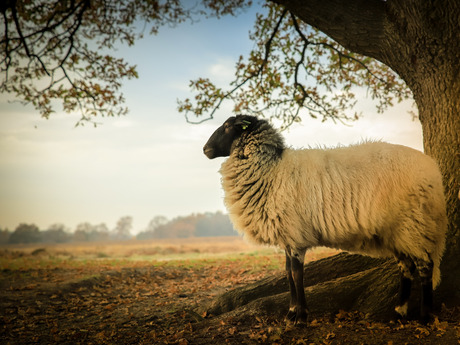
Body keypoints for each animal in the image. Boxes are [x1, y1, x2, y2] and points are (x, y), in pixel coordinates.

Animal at [202, 114, 446, 324]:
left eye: (227, 126)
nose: (205, 149)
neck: (271, 168)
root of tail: (433, 169)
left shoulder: (296, 235)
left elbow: (296, 274)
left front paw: (301, 317)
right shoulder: (289, 235)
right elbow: (287, 273)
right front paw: (291, 313)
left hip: (414, 224)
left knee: (425, 267)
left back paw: (425, 317)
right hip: (398, 231)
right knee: (406, 267)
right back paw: (399, 313)